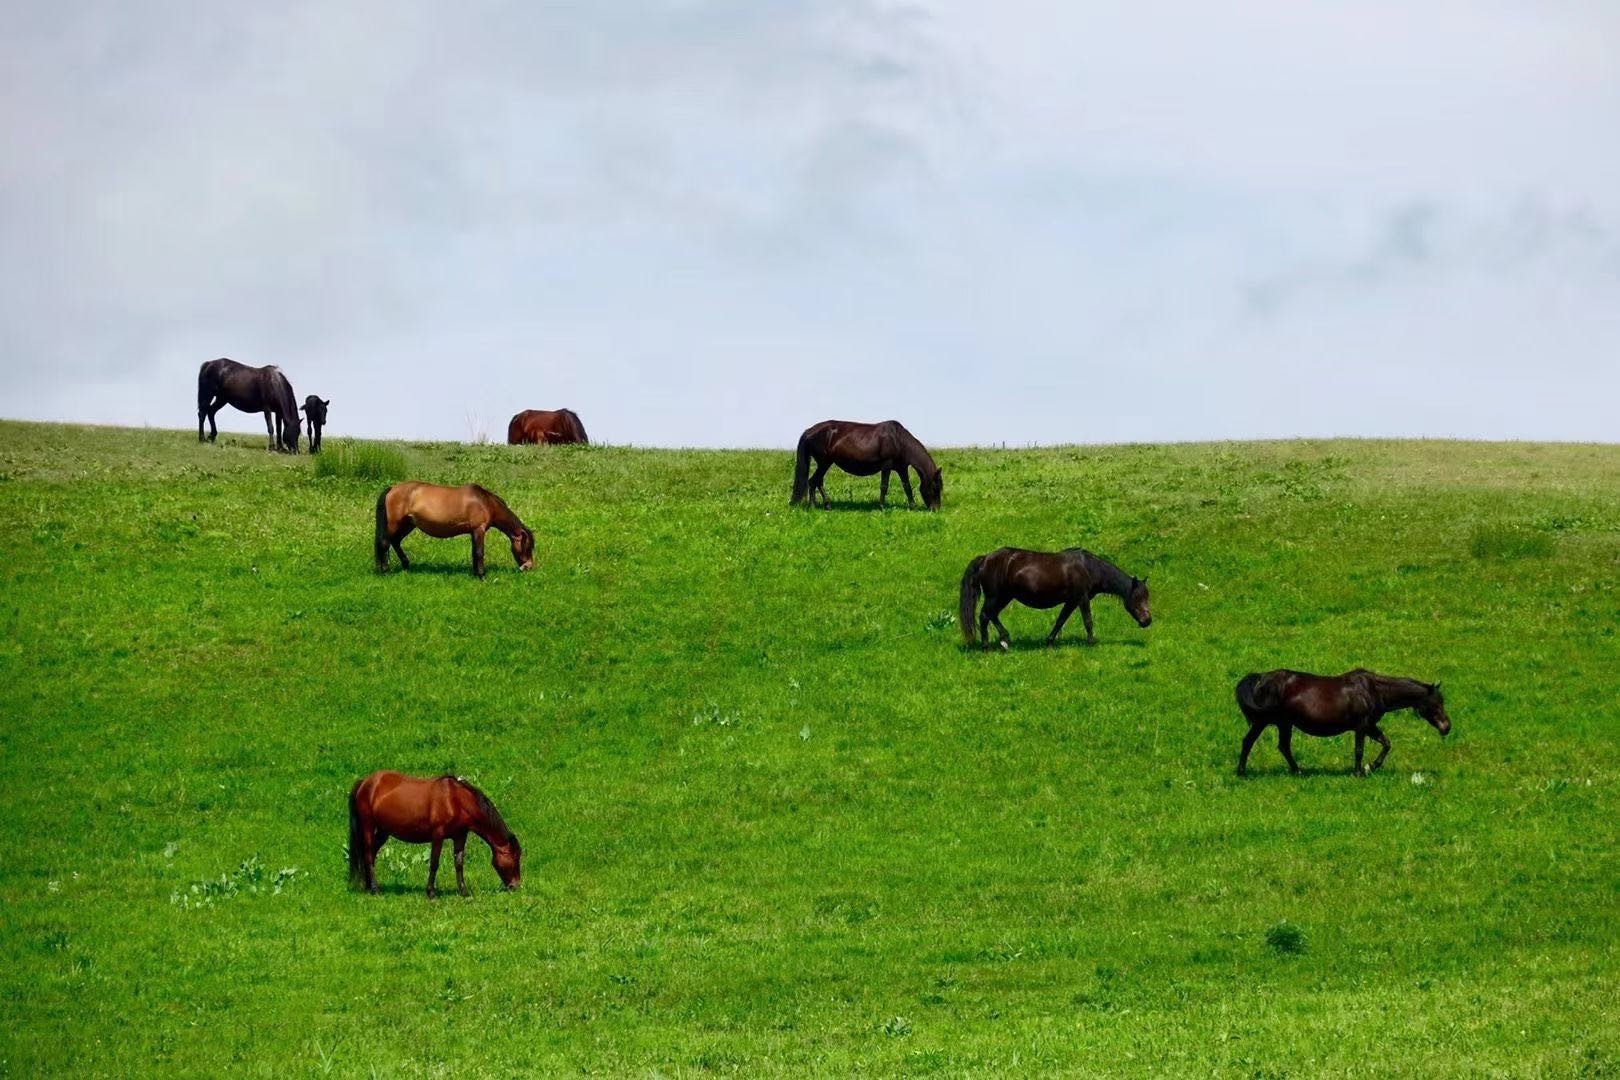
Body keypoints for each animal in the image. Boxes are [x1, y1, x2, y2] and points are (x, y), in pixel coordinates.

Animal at [349, 773, 521, 900]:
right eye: (514, 858)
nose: (516, 886)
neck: (455, 800)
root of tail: (365, 783)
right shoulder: (438, 836)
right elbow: (434, 863)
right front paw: (431, 892)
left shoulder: (460, 836)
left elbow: (459, 864)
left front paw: (464, 892)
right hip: (368, 826)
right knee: (368, 854)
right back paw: (375, 889)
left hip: (384, 831)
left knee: (370, 854)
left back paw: (368, 887)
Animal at [374, 482, 537, 579]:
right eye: (527, 547)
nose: (528, 567)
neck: (485, 502)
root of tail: (392, 489)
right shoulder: (479, 529)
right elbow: (479, 552)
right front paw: (482, 576)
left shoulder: (474, 532)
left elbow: (474, 552)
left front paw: (475, 573)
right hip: (394, 523)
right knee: (384, 543)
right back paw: (385, 570)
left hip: (408, 524)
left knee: (395, 542)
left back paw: (406, 564)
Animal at [790, 417, 946, 511]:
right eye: (935, 488)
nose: (935, 509)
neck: (899, 440)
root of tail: (809, 431)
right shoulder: (887, 464)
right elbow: (884, 486)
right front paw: (882, 507)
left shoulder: (901, 468)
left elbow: (907, 487)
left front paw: (912, 506)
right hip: (824, 462)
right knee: (813, 481)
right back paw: (813, 506)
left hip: (825, 463)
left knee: (818, 481)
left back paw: (826, 505)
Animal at [959, 550, 1153, 650]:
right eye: (1137, 597)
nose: (1147, 621)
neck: (1088, 567)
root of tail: (985, 559)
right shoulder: (1081, 598)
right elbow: (1088, 621)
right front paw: (1091, 642)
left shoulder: (1072, 601)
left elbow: (1061, 620)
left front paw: (1050, 641)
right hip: (996, 597)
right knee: (985, 616)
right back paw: (990, 644)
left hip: (1004, 597)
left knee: (990, 616)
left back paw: (1000, 641)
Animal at [1237, 667, 1458, 777]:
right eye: (1436, 704)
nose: (1447, 727)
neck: (1373, 690)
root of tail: (1261, 678)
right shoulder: (1361, 726)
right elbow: (1359, 750)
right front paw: (1359, 771)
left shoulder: (1370, 726)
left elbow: (1386, 743)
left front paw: (1372, 766)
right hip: (1263, 722)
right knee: (1248, 742)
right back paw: (1242, 772)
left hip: (1285, 724)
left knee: (1283, 747)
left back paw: (1298, 771)